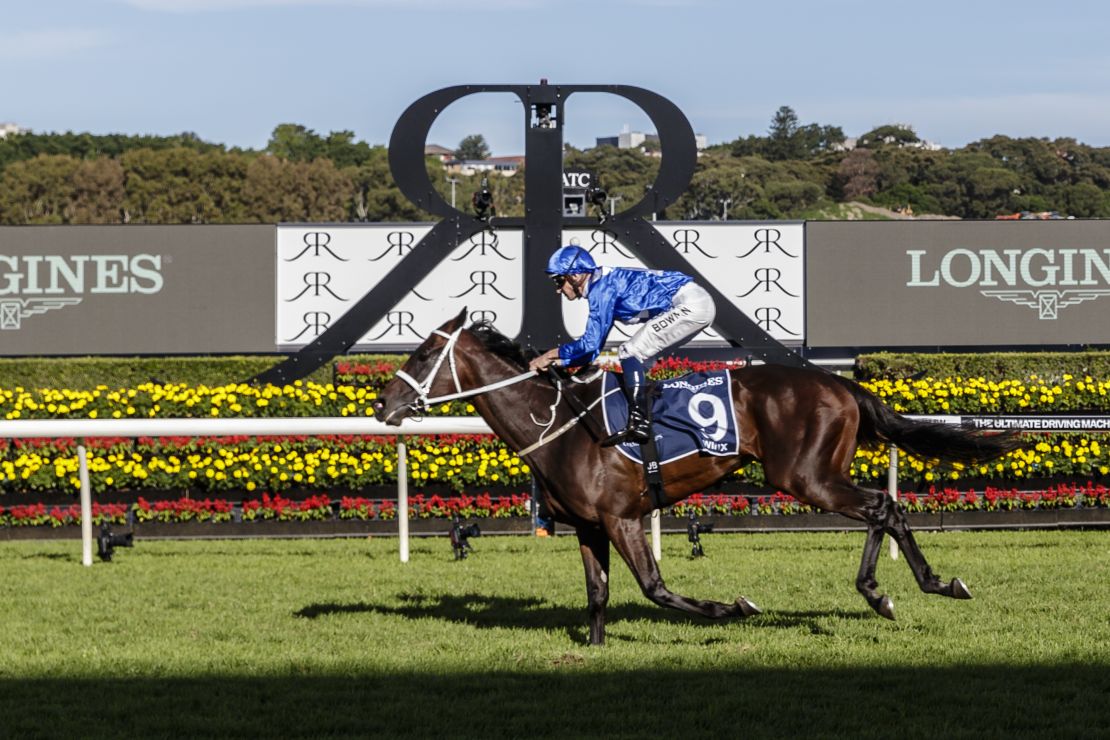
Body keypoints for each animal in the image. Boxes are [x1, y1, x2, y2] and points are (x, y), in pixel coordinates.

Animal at [375, 310, 1021, 643]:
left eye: (422, 354)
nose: (383, 405)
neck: (560, 423)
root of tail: (839, 382)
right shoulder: (588, 526)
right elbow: (597, 593)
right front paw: (594, 649)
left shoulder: (622, 518)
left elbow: (655, 588)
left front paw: (735, 608)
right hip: (817, 472)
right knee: (881, 509)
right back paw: (903, 588)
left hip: (805, 475)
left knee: (881, 507)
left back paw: (902, 590)